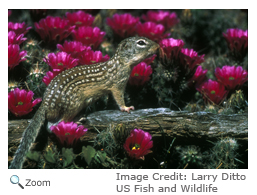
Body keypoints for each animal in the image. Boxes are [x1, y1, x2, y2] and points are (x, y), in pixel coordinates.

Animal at [9, 36, 158, 169]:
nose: (158, 46)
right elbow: (119, 98)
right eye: (141, 42)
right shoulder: (117, 85)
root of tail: (45, 103)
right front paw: (126, 107)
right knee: (55, 125)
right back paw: (76, 120)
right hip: (73, 104)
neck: (120, 62)